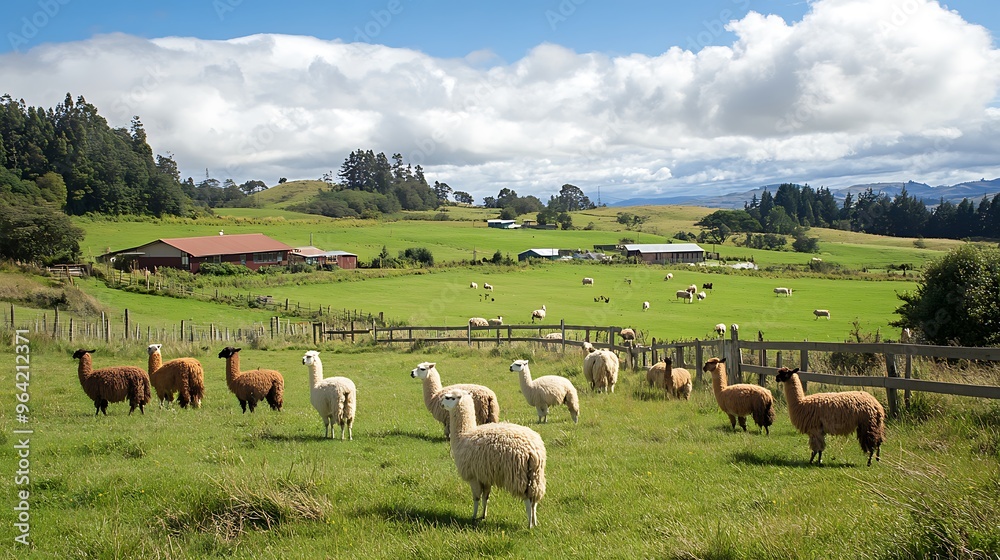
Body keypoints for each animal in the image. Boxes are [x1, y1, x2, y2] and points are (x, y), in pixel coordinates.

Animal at [440, 390, 548, 528]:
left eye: (450, 398)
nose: (441, 404)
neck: (463, 435)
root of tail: (533, 451)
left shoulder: (473, 476)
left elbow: (476, 498)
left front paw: (473, 516)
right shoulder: (485, 476)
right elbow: (486, 497)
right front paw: (483, 515)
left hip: (519, 476)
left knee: (528, 500)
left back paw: (529, 525)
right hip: (535, 475)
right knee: (534, 499)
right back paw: (535, 522)